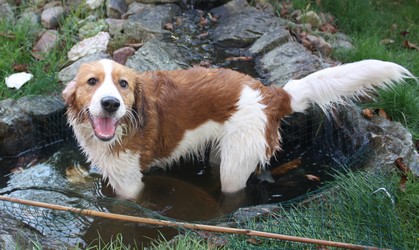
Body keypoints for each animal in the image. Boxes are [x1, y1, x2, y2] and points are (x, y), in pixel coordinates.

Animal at [62, 58, 414, 199]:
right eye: (92, 82)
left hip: (233, 166)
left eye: (123, 84)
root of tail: (272, 93)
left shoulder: (130, 184)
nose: (110, 103)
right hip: (226, 151)